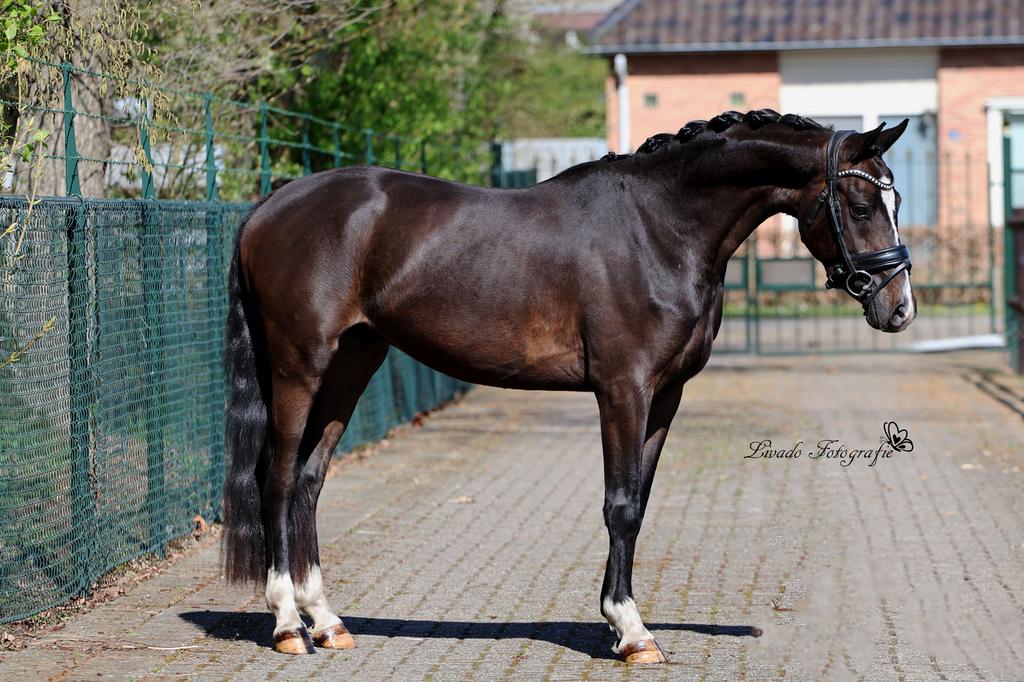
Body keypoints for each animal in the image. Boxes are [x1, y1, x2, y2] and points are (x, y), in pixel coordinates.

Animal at [221, 109, 915, 663]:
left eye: (896, 203)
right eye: (860, 207)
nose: (899, 308)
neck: (660, 227)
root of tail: (268, 207)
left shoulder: (665, 396)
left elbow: (639, 503)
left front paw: (622, 622)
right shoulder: (623, 389)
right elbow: (620, 504)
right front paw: (631, 631)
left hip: (352, 363)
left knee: (310, 480)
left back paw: (327, 621)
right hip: (299, 366)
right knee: (278, 477)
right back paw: (287, 624)